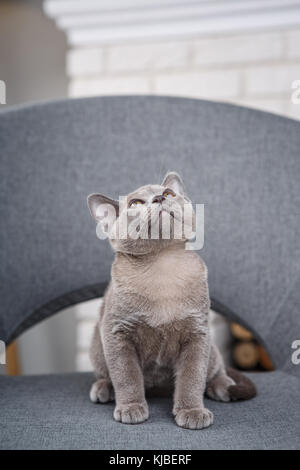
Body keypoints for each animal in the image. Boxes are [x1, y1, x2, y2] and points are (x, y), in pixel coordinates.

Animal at [86, 172, 255, 430]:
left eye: (168, 193)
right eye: (135, 203)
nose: (159, 198)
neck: (162, 265)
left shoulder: (197, 334)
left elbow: (191, 379)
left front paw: (192, 412)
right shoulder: (116, 333)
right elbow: (127, 376)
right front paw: (131, 408)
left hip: (212, 349)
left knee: (216, 371)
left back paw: (223, 387)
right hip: (97, 346)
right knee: (108, 375)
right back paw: (104, 389)